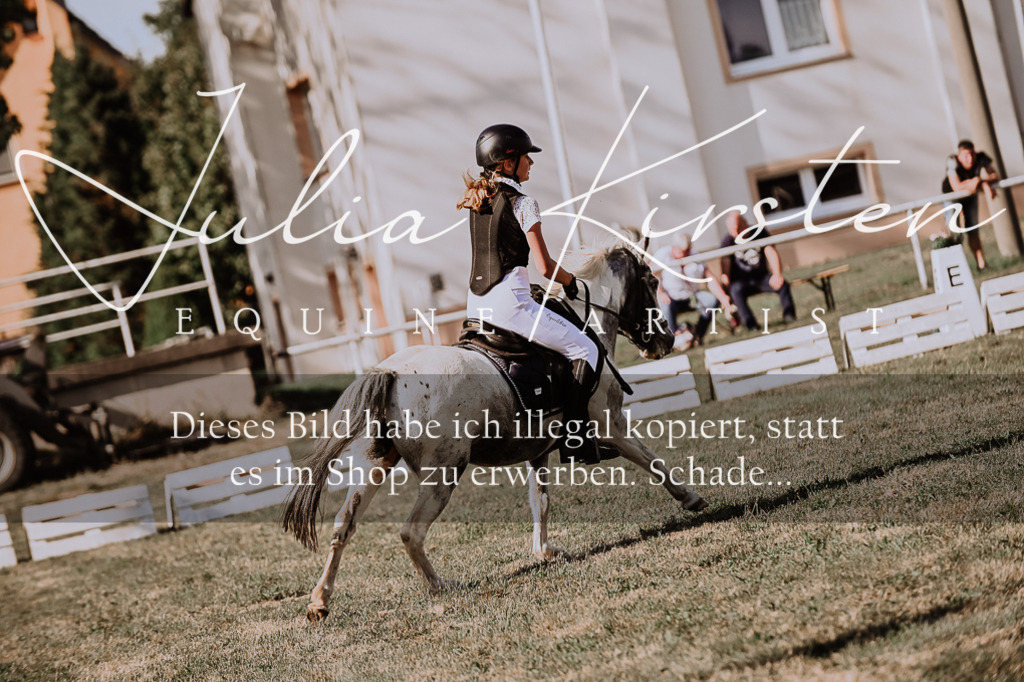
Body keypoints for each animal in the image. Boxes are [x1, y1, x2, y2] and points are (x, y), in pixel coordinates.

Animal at [283, 234, 709, 621]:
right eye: (651, 282)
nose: (665, 341)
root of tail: (390, 372)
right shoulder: (610, 425)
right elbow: (652, 460)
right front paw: (691, 498)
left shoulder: (538, 450)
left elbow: (541, 501)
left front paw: (544, 551)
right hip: (444, 473)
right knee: (410, 533)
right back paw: (441, 587)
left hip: (375, 466)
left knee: (344, 526)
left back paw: (320, 601)